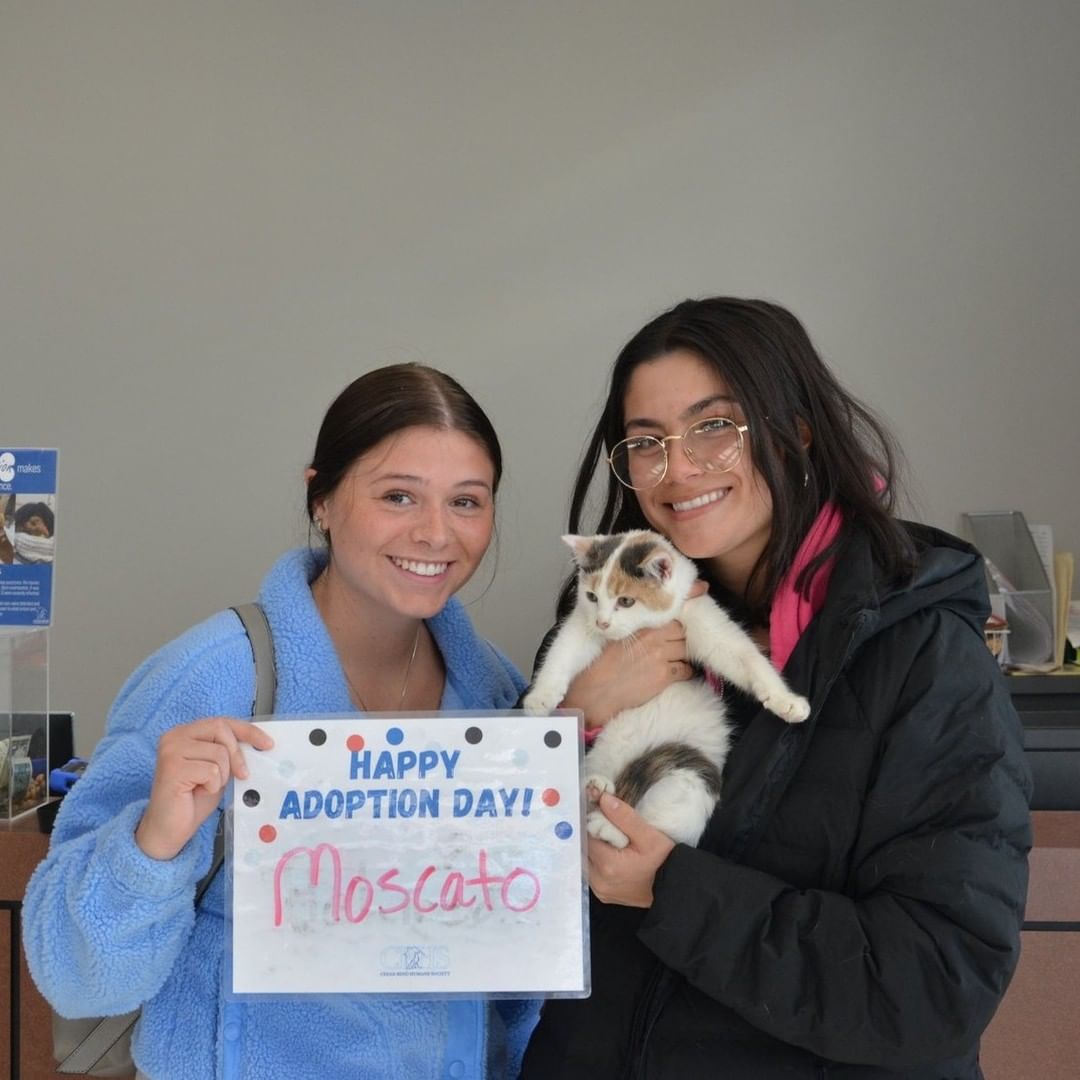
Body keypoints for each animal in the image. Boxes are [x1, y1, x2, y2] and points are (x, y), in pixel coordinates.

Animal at [522, 531, 812, 851]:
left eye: (626, 601)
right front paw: (541, 696)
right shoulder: (581, 625)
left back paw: (607, 822)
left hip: (692, 778)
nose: (603, 622)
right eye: (592, 597)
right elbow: (563, 650)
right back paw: (594, 788)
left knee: (657, 828)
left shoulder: (697, 611)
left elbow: (740, 654)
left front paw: (787, 702)